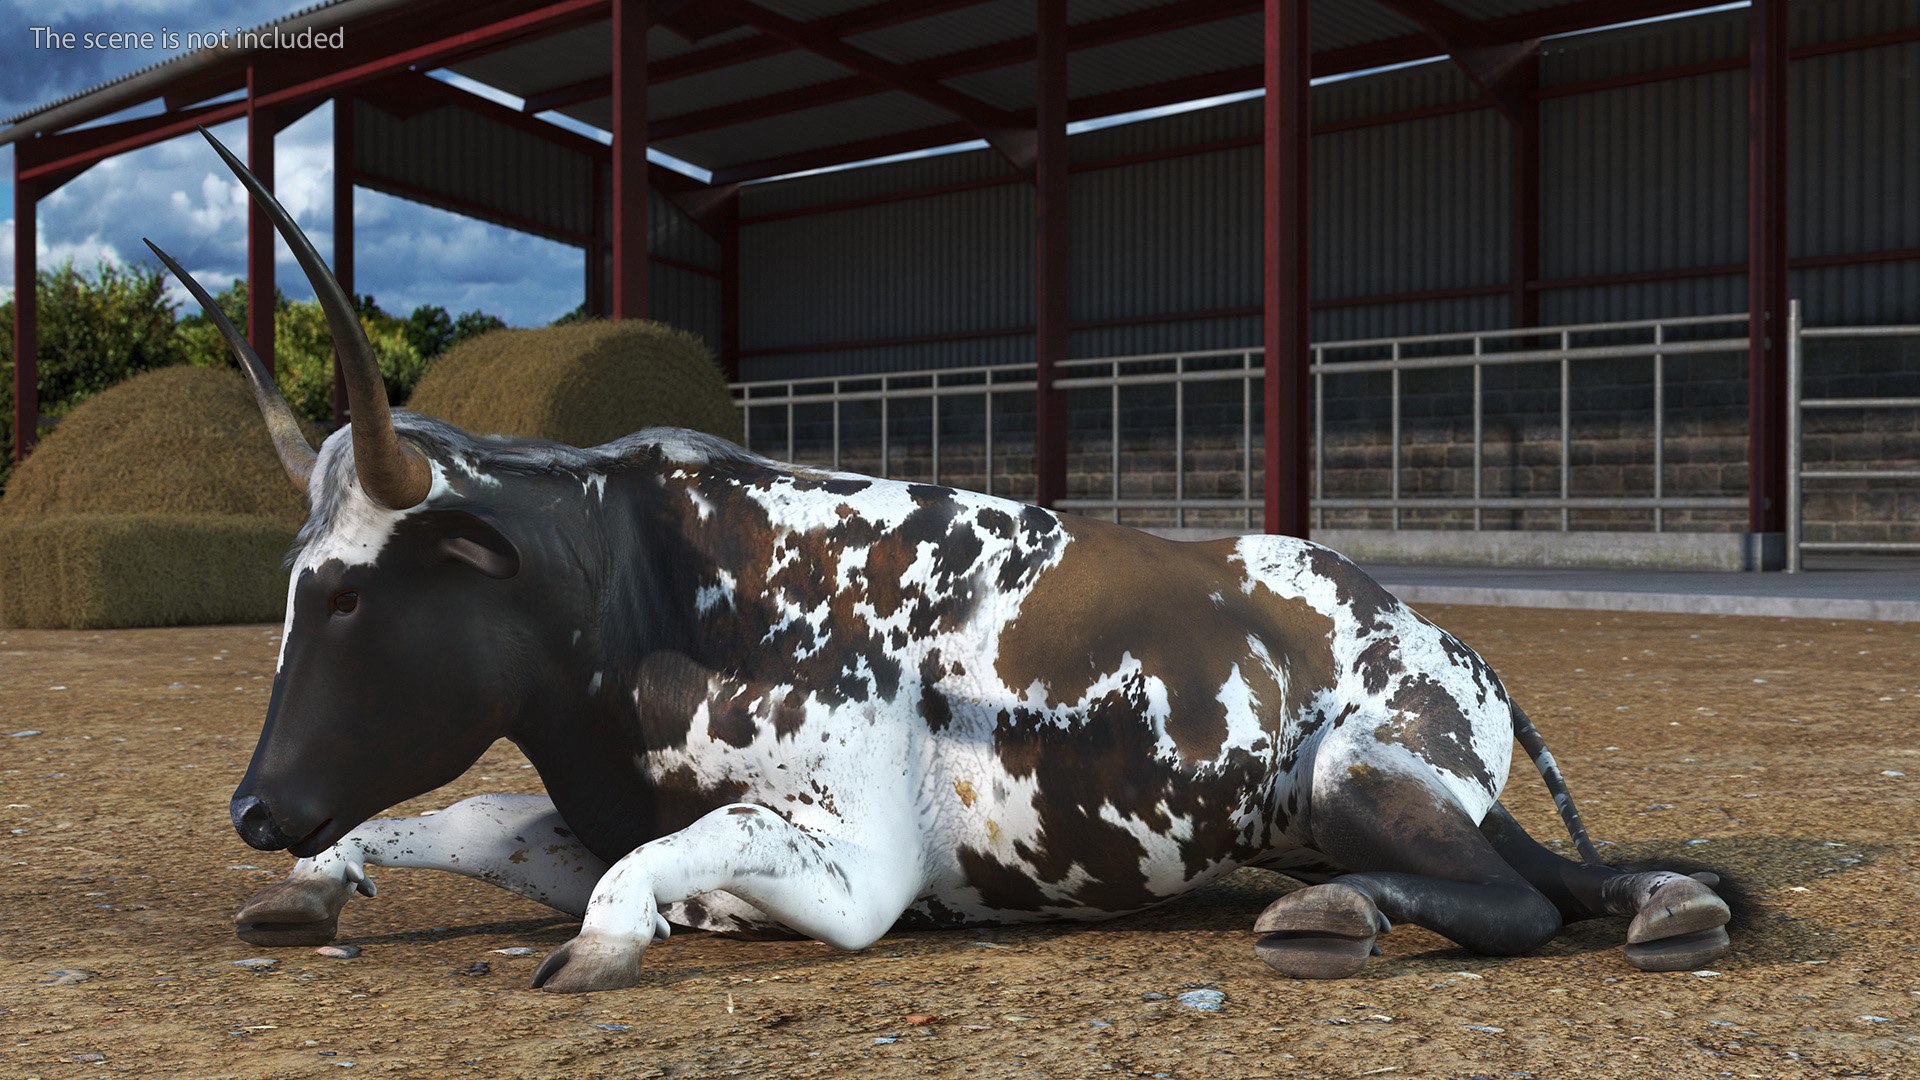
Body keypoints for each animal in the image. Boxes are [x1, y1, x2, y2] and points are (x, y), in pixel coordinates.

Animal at [160, 130, 1732, 994]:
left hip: (1356, 771)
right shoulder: (570, 816)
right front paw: (314, 881)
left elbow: (650, 869)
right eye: (293, 589)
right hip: (1369, 801)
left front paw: (603, 946)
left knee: (1518, 902)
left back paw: (1340, 916)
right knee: (1569, 878)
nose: (251, 808)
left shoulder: (853, 869)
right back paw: (1668, 903)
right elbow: (472, 818)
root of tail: (1440, 634)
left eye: (349, 592)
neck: (656, 610)